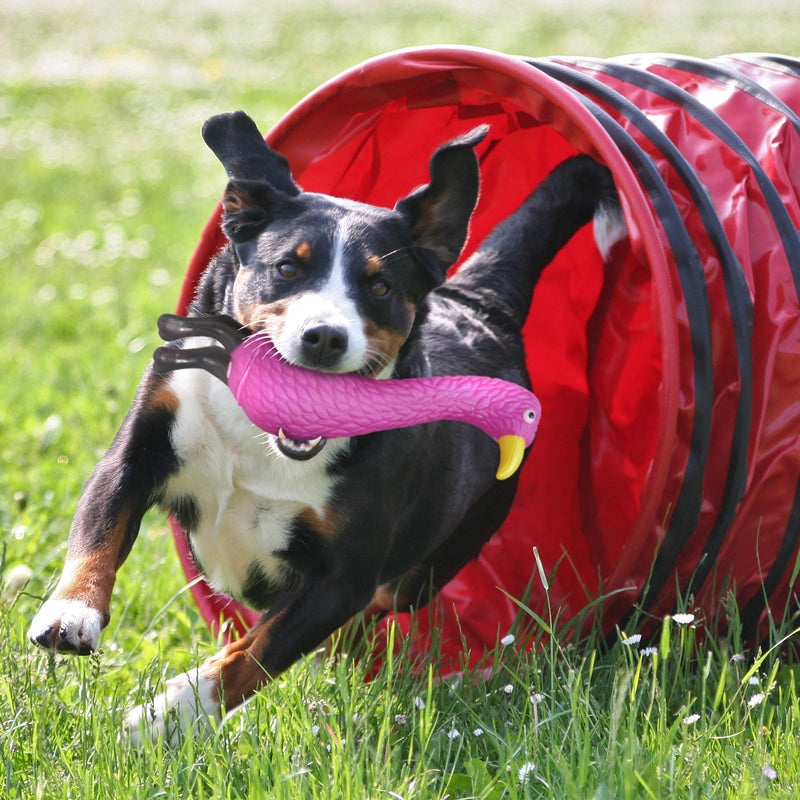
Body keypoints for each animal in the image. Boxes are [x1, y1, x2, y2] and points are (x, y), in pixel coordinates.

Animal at [26, 108, 624, 744]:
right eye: (288, 266)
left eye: (379, 286)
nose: (325, 337)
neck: (257, 438)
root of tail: (482, 305)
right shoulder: (137, 452)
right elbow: (99, 532)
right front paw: (70, 612)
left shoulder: (344, 575)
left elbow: (254, 653)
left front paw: (168, 714)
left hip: (431, 562)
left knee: (372, 611)